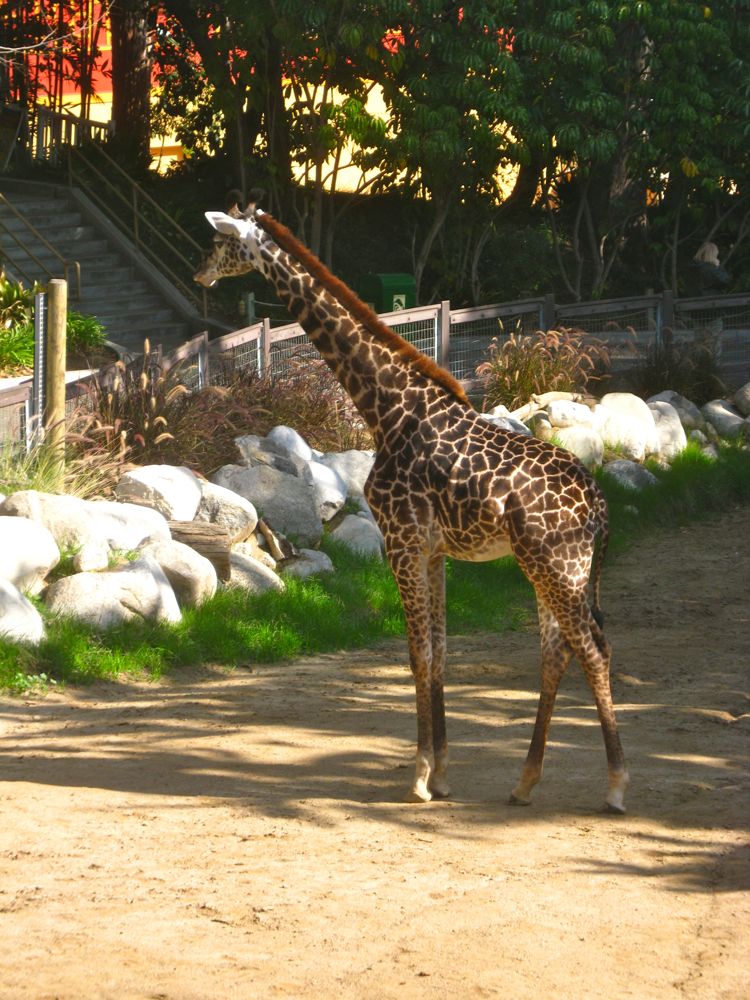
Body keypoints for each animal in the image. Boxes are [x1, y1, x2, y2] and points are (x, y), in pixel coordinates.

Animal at [192, 197, 628, 812]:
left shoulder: (401, 541)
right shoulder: (434, 549)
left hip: (556, 564)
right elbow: (439, 651)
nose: (200, 274)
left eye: (222, 241)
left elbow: (418, 652)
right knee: (557, 650)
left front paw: (420, 777)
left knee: (592, 647)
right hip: (554, 566)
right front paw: (441, 772)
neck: (388, 409)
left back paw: (615, 786)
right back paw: (524, 782)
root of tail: (599, 506)